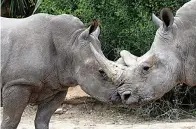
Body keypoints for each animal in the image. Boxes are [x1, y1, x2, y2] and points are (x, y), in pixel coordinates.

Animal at [0, 14, 132, 129]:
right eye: (101, 72)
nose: (123, 96)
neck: (70, 44)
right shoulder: (18, 83)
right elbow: (11, 122)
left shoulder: (56, 86)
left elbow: (42, 120)